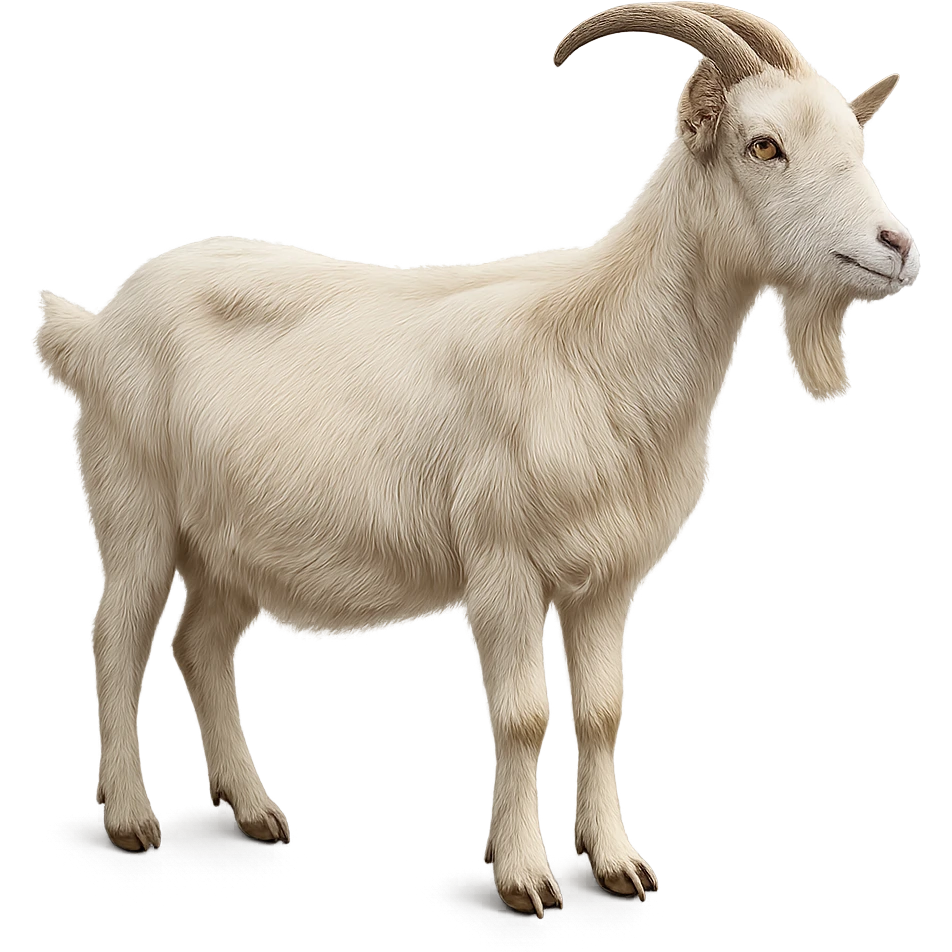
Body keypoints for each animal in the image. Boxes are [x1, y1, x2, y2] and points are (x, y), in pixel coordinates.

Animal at [31, 1, 917, 919]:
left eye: (857, 146)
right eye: (763, 145)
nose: (895, 244)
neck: (599, 347)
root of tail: (96, 324)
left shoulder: (609, 578)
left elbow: (603, 711)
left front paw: (617, 864)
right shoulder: (504, 563)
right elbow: (524, 715)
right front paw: (525, 877)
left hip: (228, 544)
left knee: (201, 646)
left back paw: (253, 809)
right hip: (135, 507)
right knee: (117, 639)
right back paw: (132, 820)